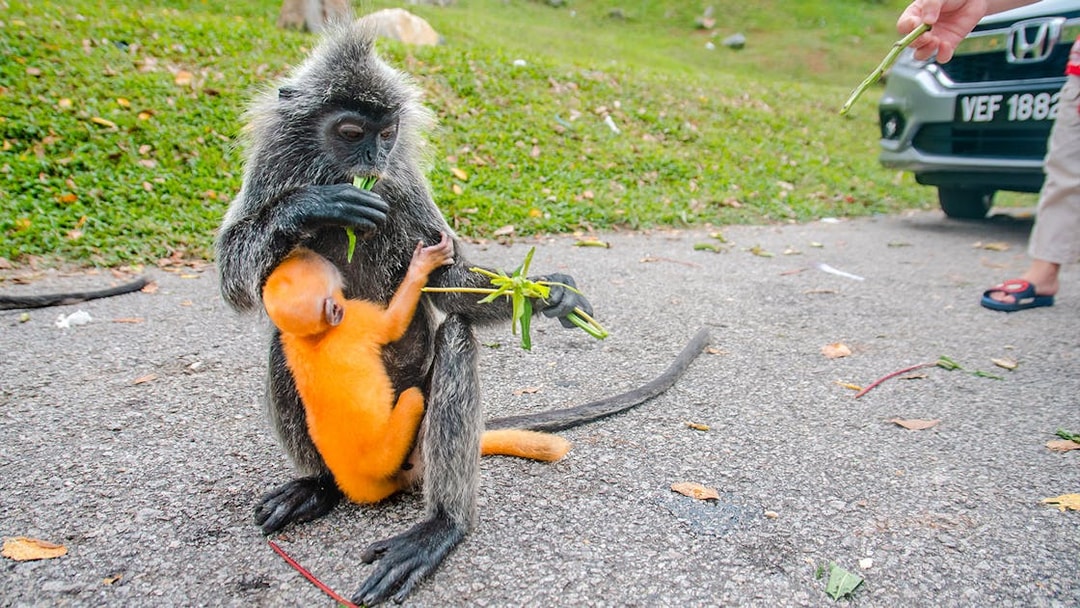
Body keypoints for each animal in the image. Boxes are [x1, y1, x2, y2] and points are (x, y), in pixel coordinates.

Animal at [261, 233, 570, 504]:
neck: (314, 337)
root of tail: (358, 484)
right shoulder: (358, 318)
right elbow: (393, 324)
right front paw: (422, 265)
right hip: (393, 449)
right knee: (434, 364)